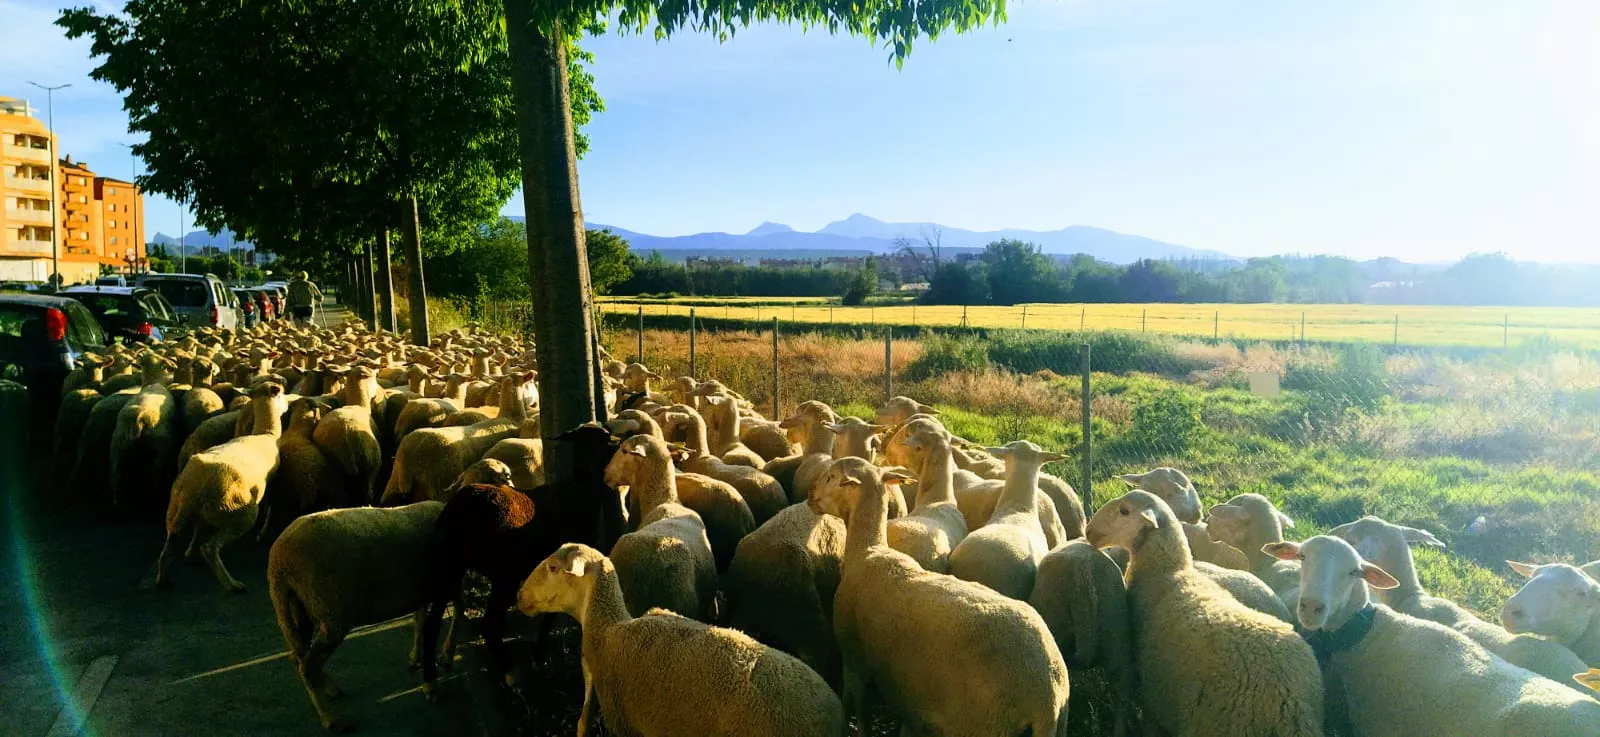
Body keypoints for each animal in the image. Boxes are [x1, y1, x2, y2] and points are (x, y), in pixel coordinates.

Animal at [155, 382, 288, 592]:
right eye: (282, 394)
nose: (288, 405)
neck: (265, 434)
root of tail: (194, 487)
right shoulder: (272, 484)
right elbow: (270, 507)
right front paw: (264, 531)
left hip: (179, 509)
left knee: (172, 539)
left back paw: (166, 574)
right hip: (237, 512)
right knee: (210, 547)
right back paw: (232, 584)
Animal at [267, 501, 458, 733]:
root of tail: (278, 563)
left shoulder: (423, 589)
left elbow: (421, 619)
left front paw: (417, 657)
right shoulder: (444, 583)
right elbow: (452, 612)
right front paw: (440, 667)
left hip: (299, 606)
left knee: (298, 656)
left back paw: (329, 688)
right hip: (332, 611)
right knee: (308, 665)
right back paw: (332, 719)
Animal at [420, 424, 626, 693]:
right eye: (598, 440)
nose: (617, 445)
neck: (581, 492)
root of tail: (458, 511)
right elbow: (550, 616)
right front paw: (539, 658)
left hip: (449, 564)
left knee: (433, 622)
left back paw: (430, 681)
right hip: (503, 574)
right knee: (489, 624)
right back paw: (510, 673)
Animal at [813, 457, 1070, 736]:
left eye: (831, 477)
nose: (810, 496)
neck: (867, 551)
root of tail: (1047, 694)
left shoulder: (854, 663)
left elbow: (859, 711)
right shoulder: (905, 694)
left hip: (984, 724)